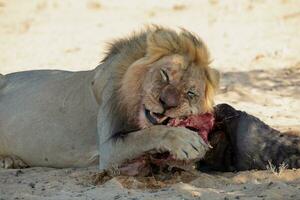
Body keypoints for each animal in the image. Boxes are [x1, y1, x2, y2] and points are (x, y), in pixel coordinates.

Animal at [0, 25, 220, 169]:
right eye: (165, 74)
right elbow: (149, 133)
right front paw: (187, 142)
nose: (166, 104)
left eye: (190, 93)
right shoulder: (108, 150)